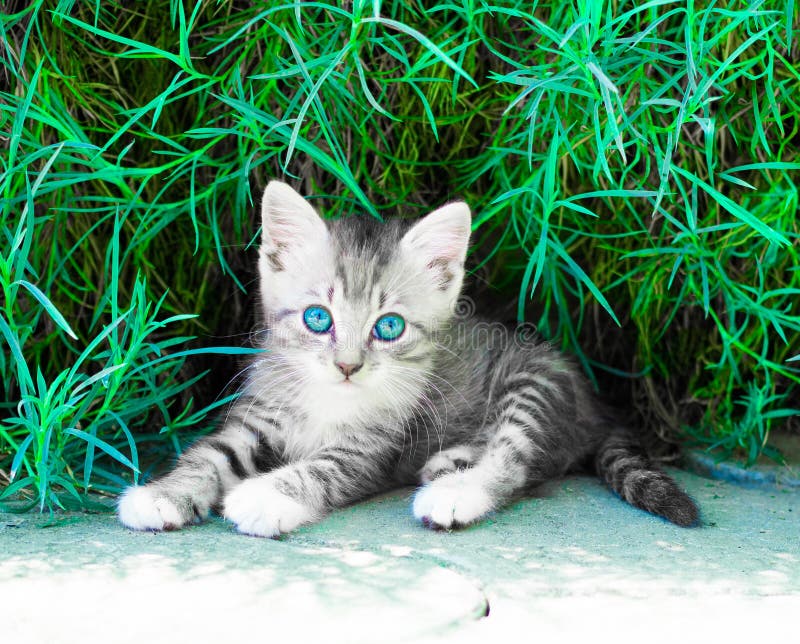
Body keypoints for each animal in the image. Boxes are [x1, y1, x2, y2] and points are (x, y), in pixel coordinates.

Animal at [117, 180, 700, 532]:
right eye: (318, 319)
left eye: (389, 327)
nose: (347, 366)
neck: (326, 402)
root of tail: (594, 401)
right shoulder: (256, 417)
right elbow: (208, 455)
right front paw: (164, 494)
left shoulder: (368, 450)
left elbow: (319, 469)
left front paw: (265, 496)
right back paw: (452, 460)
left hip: (534, 382)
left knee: (519, 457)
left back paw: (457, 490)